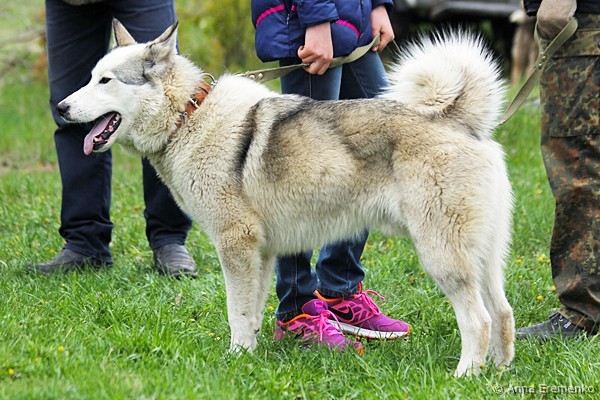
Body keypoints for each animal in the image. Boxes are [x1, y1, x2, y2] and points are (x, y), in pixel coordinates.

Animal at [57, 20, 515, 377]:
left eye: (105, 81)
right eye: (90, 76)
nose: (60, 108)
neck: (190, 116)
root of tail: (458, 120)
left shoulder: (235, 244)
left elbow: (236, 311)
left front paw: (234, 358)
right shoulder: (260, 252)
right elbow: (252, 312)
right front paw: (249, 354)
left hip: (441, 255)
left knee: (479, 319)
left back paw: (465, 375)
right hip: (484, 257)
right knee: (502, 312)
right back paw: (498, 370)